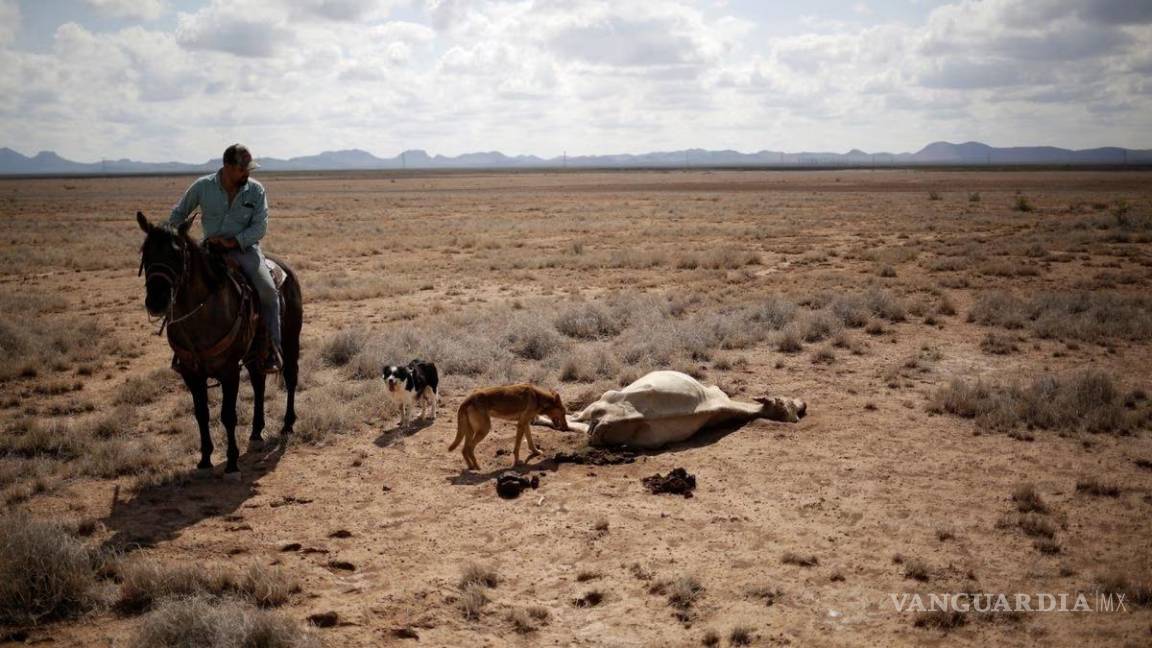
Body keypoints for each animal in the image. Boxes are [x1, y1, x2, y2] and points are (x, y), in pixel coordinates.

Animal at [134, 212, 304, 475]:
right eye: (146, 250)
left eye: (177, 253)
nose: (156, 300)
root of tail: (286, 269)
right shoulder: (191, 373)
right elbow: (201, 414)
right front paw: (205, 459)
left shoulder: (229, 370)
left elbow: (227, 415)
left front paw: (232, 463)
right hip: (254, 353)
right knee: (259, 382)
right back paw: (256, 431)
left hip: (290, 339)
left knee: (290, 377)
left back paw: (287, 424)